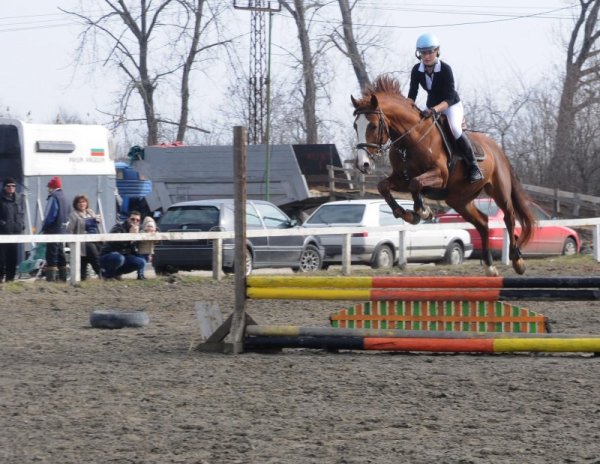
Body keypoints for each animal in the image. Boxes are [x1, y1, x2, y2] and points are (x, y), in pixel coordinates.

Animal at [350, 74, 536, 274]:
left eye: (373, 126)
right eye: (355, 126)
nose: (363, 164)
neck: (411, 138)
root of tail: (497, 148)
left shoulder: (439, 176)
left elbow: (416, 184)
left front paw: (423, 212)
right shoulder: (401, 178)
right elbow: (384, 186)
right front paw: (408, 214)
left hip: (499, 190)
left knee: (509, 217)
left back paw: (518, 261)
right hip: (459, 200)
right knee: (483, 223)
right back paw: (489, 266)